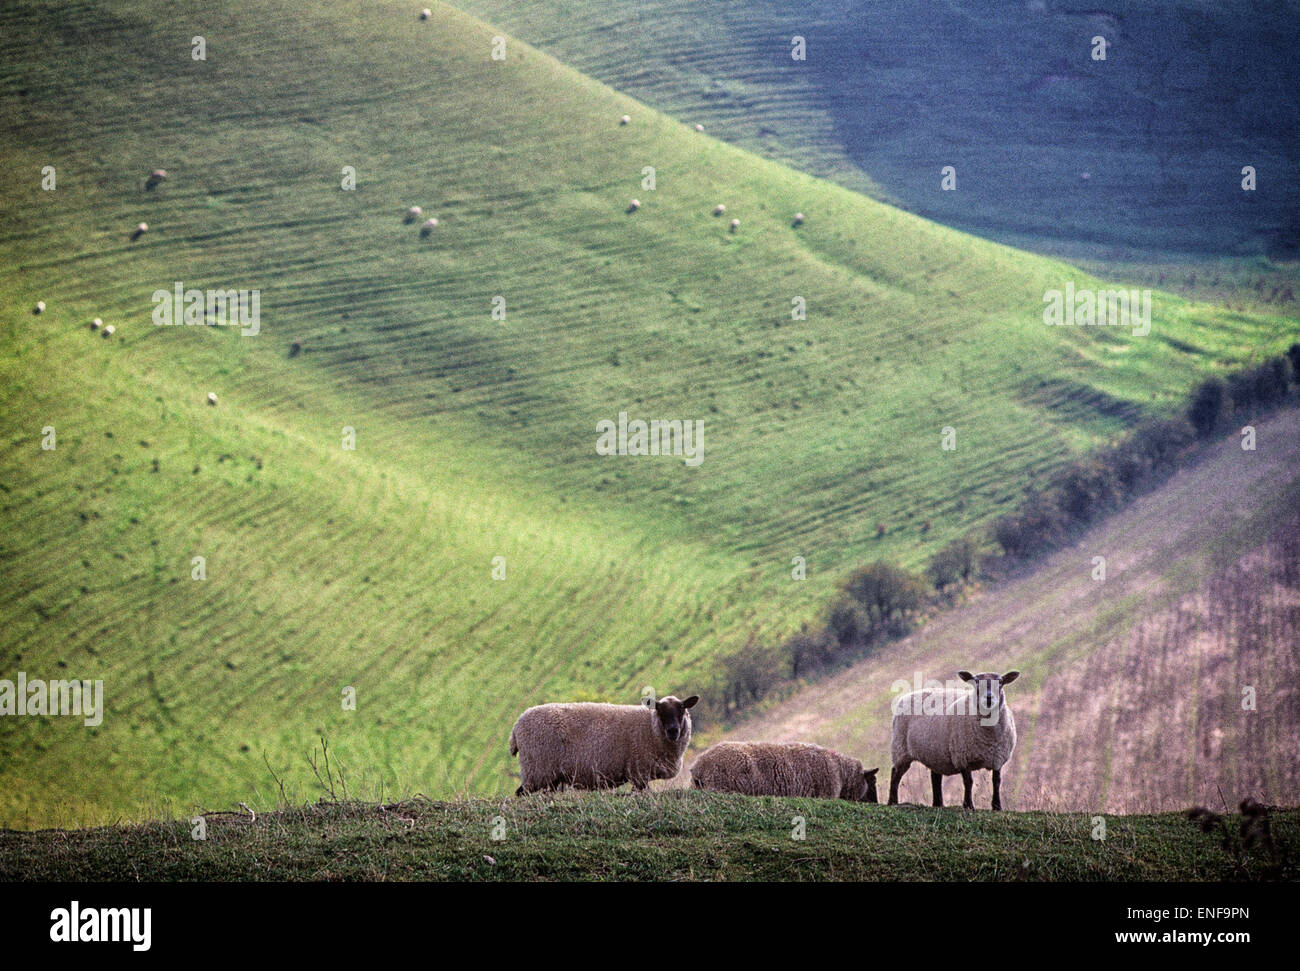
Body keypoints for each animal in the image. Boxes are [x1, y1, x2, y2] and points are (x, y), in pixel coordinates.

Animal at [504, 691, 696, 795]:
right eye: (660, 711)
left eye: (682, 710)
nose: (673, 731)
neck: (651, 728)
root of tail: (516, 728)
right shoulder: (638, 771)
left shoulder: (639, 774)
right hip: (537, 768)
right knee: (521, 794)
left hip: (547, 775)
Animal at [889, 670, 1019, 811]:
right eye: (976, 681)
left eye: (1000, 682)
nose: (989, 698)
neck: (988, 736)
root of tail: (906, 696)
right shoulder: (963, 757)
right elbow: (969, 782)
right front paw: (968, 806)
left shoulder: (998, 758)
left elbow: (996, 781)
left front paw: (997, 806)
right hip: (900, 748)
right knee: (895, 773)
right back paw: (892, 802)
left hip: (935, 753)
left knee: (935, 777)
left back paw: (938, 804)